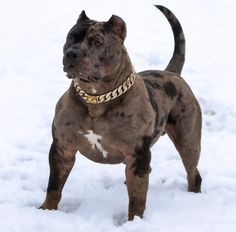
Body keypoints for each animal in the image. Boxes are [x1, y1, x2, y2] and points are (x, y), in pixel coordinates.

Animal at [40, 4, 201, 220]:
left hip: (188, 142)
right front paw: (46, 210)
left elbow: (137, 197)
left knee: (192, 172)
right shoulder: (62, 149)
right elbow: (54, 186)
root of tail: (171, 73)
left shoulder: (138, 154)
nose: (72, 53)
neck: (96, 98)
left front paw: (134, 221)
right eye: (71, 38)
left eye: (98, 42)